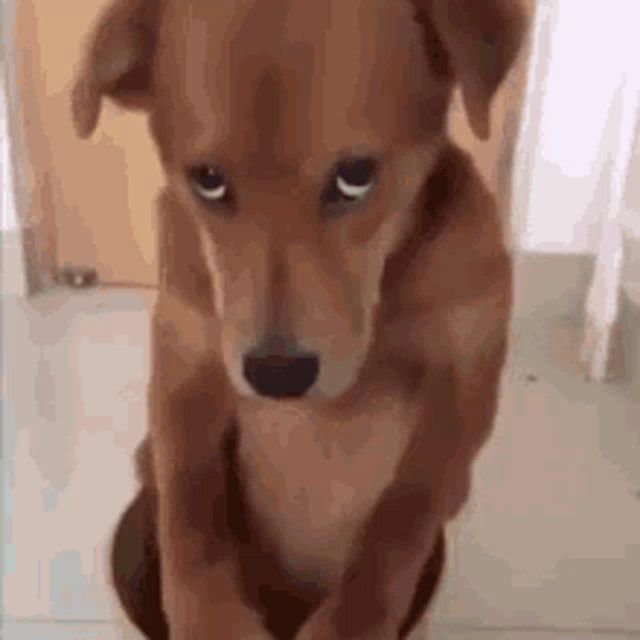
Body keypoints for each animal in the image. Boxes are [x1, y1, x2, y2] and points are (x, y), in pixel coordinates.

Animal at [72, 2, 528, 636]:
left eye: (356, 175)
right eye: (207, 180)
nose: (277, 375)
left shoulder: (464, 385)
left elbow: (400, 520)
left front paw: (350, 622)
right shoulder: (185, 359)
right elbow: (190, 506)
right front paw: (211, 618)